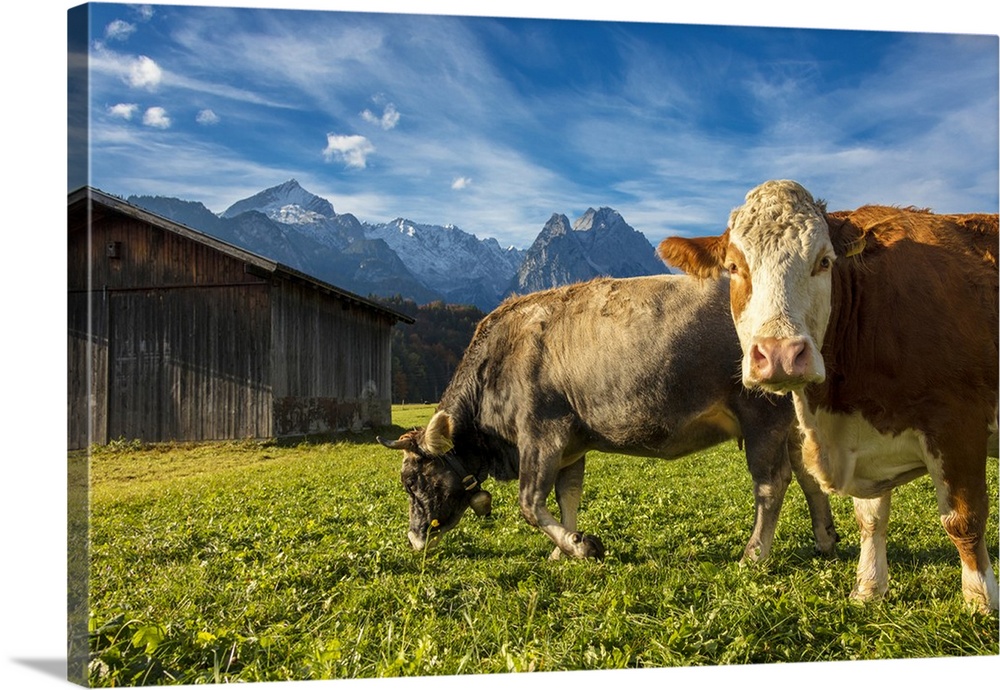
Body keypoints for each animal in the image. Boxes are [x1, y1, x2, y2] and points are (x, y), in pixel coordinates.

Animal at [378, 274, 840, 560]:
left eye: (413, 480)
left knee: (772, 483)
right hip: (791, 421)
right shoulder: (570, 444)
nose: (414, 538)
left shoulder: (541, 433)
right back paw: (825, 539)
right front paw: (563, 548)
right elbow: (567, 496)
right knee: (807, 475)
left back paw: (754, 553)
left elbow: (530, 503)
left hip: (762, 413)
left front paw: (581, 546)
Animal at [660, 180, 996, 612]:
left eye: (824, 262)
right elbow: (870, 518)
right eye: (734, 267)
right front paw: (869, 588)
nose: (780, 355)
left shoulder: (958, 422)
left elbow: (963, 518)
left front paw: (981, 600)